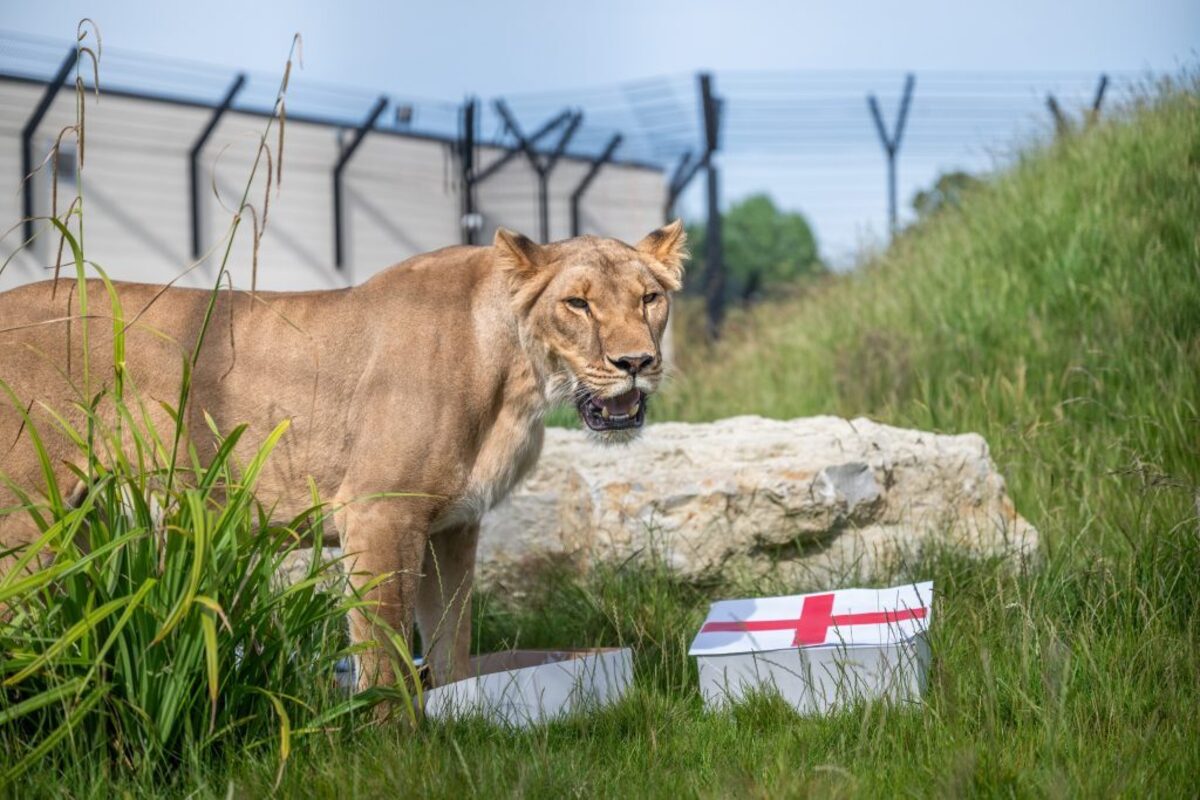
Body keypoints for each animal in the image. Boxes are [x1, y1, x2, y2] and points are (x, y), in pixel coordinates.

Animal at [0, 221, 686, 689]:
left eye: (650, 299)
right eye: (578, 303)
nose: (637, 362)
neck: (516, 381)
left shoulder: (454, 526)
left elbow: (451, 645)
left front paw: (466, 711)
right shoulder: (380, 513)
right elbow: (382, 656)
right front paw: (394, 743)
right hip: (25, 519)